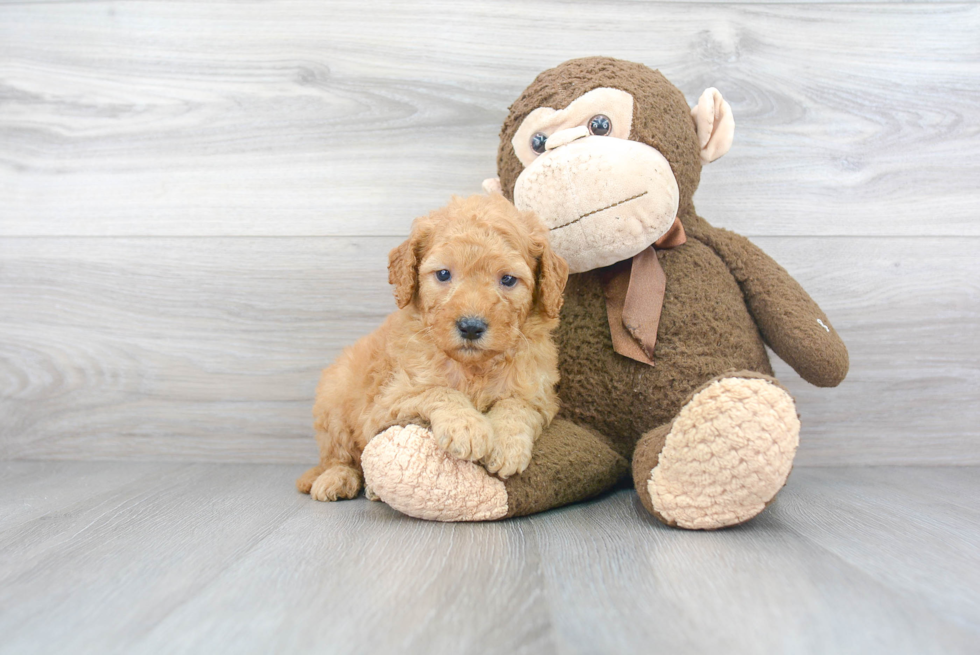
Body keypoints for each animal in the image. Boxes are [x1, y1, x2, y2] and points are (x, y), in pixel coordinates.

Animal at [292, 195, 568, 502]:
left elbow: (516, 404)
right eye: (444, 274)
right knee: (339, 456)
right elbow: (438, 390)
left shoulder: (540, 396)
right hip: (334, 401)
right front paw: (466, 427)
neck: (473, 367)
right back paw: (336, 478)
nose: (470, 327)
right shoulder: (389, 401)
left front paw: (507, 445)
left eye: (508, 279)